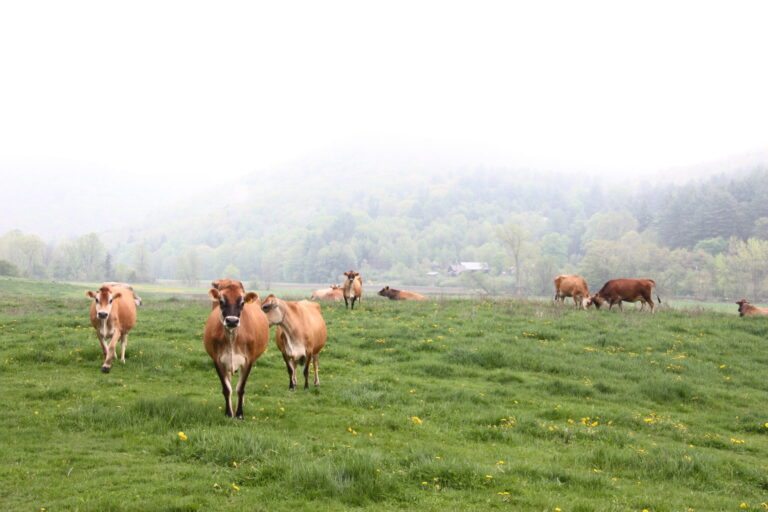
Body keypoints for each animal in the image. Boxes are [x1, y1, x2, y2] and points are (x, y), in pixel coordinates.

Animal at [203, 282, 269, 419]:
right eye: (221, 301)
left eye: (242, 302)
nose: (232, 321)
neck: (232, 339)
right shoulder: (217, 361)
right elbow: (227, 389)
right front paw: (229, 413)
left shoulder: (248, 361)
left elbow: (241, 388)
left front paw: (239, 414)